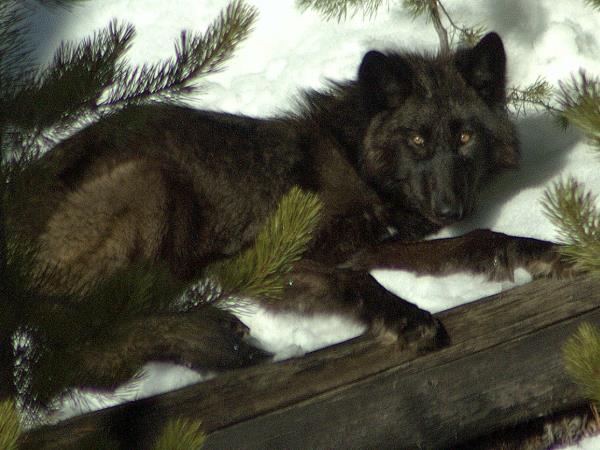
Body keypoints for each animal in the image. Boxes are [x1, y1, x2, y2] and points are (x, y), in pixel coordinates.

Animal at [21, 33, 568, 382]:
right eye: (416, 139)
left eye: (464, 137)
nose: (451, 210)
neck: (352, 158)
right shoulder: (261, 260)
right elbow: (356, 281)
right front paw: (407, 317)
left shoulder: (374, 245)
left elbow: (478, 241)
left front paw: (542, 252)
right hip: (149, 180)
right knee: (81, 350)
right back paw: (212, 340)